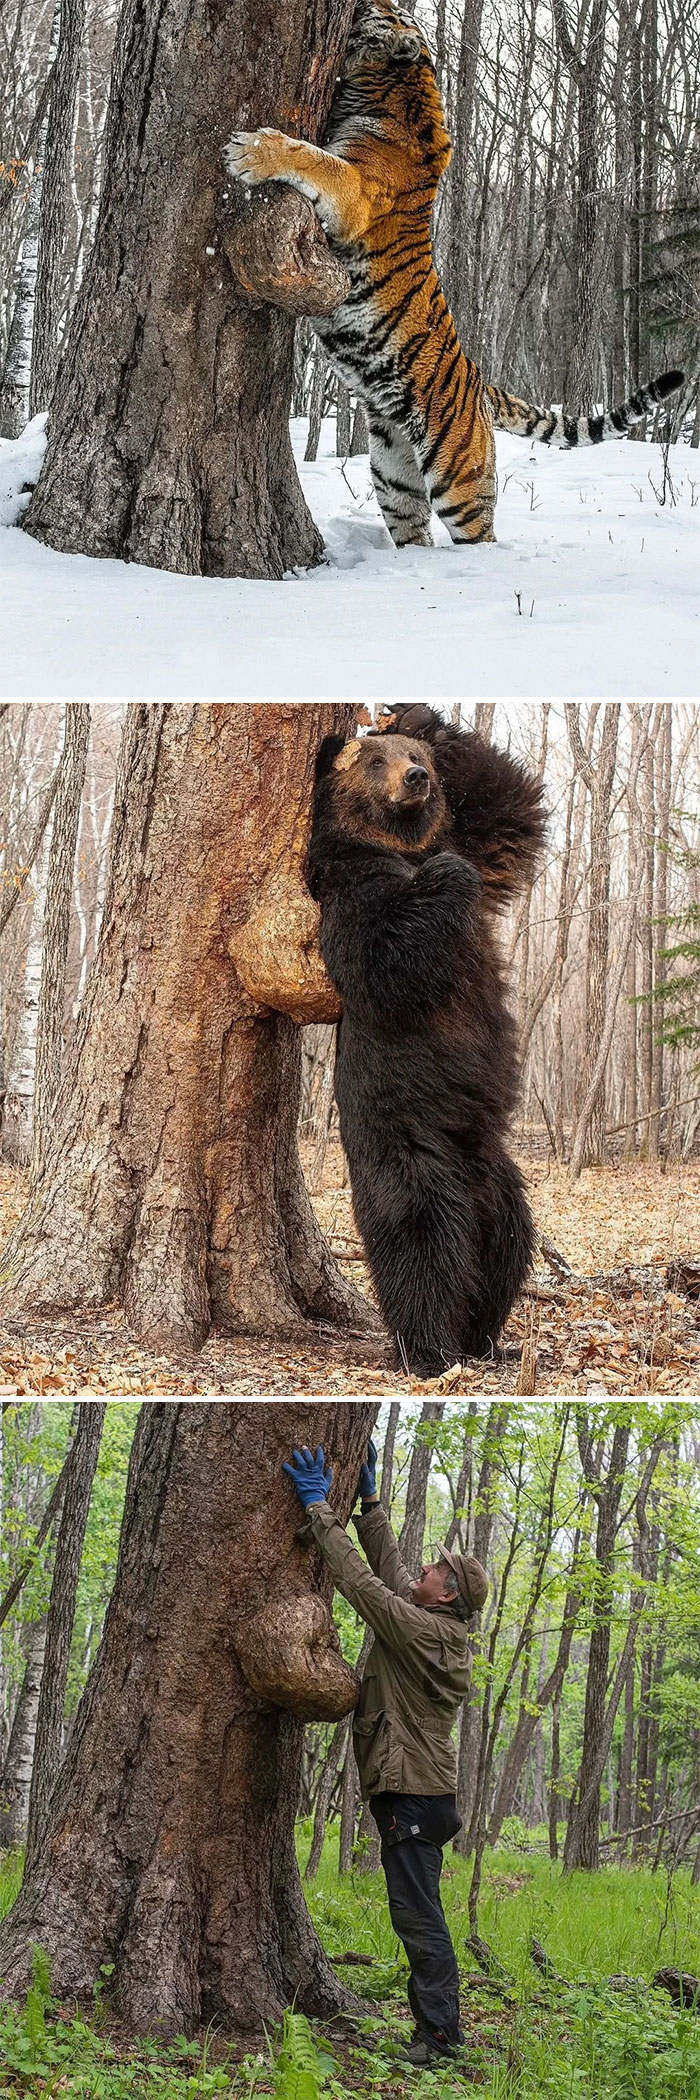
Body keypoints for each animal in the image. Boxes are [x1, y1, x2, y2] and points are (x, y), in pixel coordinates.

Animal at [226, 0, 683, 547]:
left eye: (388, 10)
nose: (369, 2)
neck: (392, 87)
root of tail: (483, 385)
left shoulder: (355, 190)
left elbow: (312, 157)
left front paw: (251, 150)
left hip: (457, 479)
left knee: (478, 534)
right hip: (392, 473)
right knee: (412, 528)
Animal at [307, 703, 547, 1375]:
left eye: (414, 757)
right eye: (372, 762)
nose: (415, 777)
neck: (400, 844)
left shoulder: (475, 844)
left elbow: (509, 809)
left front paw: (421, 714)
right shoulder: (349, 890)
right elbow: (386, 954)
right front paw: (445, 875)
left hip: (497, 1174)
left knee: (506, 1245)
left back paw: (488, 1339)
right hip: (412, 1145)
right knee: (424, 1242)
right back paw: (432, 1347)